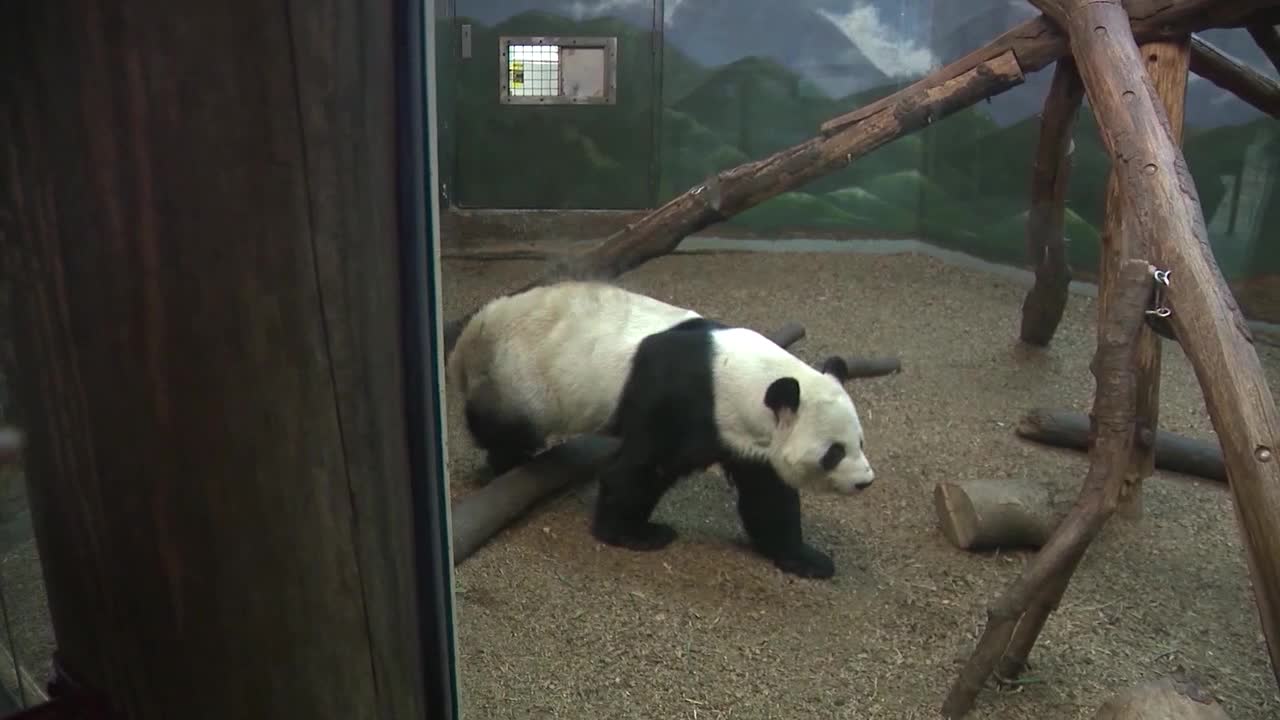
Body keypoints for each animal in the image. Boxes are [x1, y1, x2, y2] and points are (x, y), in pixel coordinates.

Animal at [446, 280, 875, 579]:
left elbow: (767, 495)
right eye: (834, 452)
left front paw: (806, 558)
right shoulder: (684, 400)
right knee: (505, 427)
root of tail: (470, 333)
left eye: (860, 441)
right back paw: (508, 461)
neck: (739, 377)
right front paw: (635, 533)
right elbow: (639, 469)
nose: (865, 481)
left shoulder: (744, 433)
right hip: (516, 378)